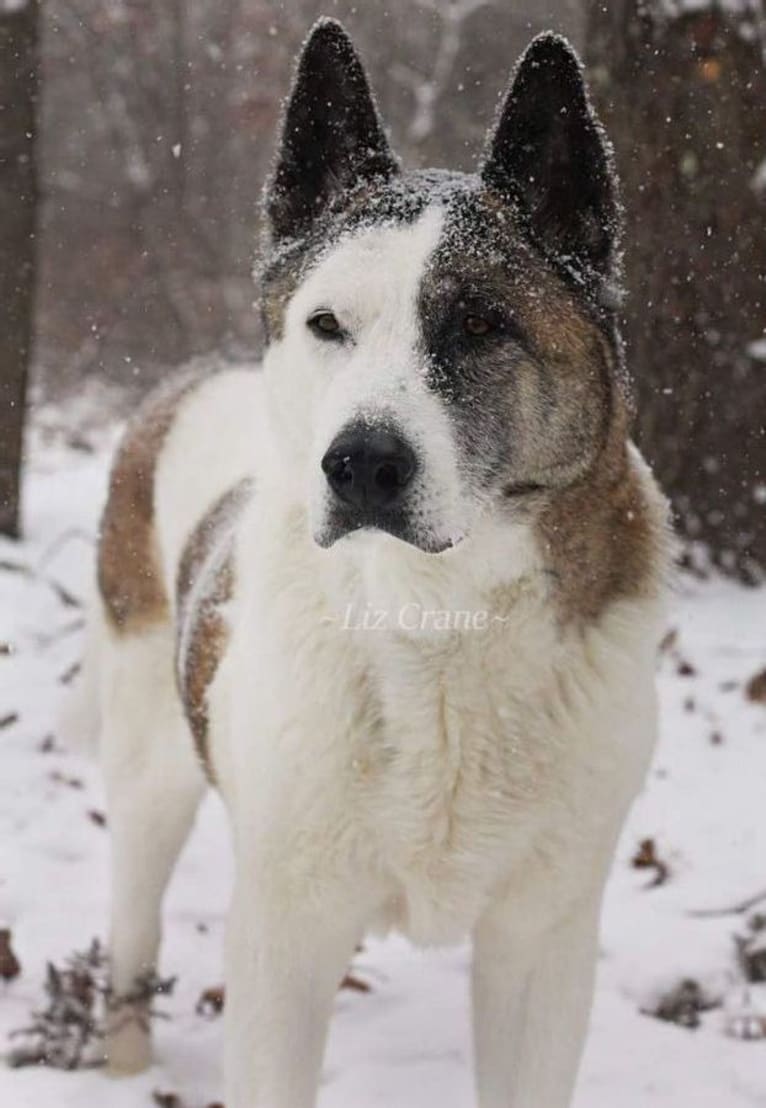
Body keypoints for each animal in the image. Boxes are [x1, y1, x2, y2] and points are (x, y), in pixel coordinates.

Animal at [67, 19, 669, 1108]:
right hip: (148, 771)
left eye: (479, 325)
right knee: (133, 927)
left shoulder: (542, 937)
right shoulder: (285, 934)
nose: (359, 465)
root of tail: (184, 382)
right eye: (326, 325)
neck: (435, 615)